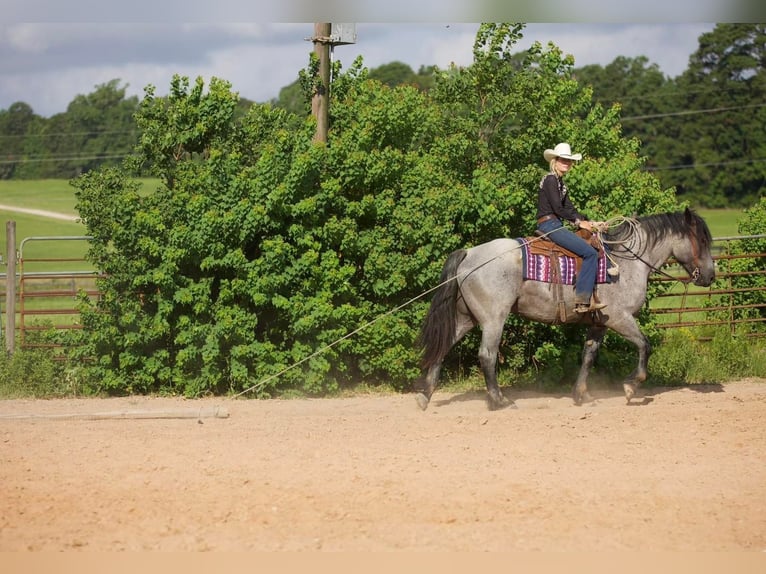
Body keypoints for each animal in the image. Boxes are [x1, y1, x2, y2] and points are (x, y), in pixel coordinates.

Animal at [415, 208, 715, 410]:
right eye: (701, 240)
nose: (710, 276)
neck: (626, 263)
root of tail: (469, 254)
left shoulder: (599, 323)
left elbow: (588, 356)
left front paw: (582, 394)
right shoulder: (620, 318)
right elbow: (644, 345)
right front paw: (631, 386)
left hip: (466, 317)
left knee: (443, 347)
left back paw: (424, 395)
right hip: (493, 319)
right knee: (486, 356)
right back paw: (500, 400)